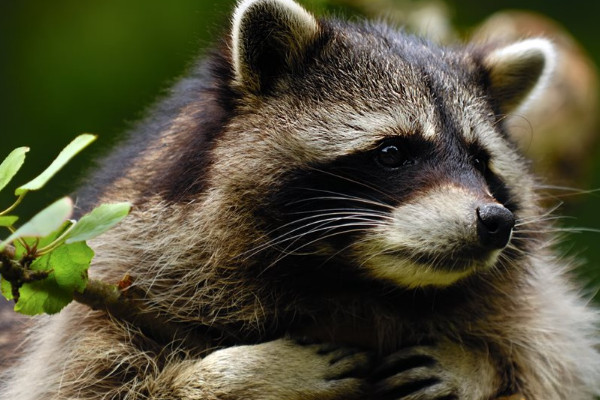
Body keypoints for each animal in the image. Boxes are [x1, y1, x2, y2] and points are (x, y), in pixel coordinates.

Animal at [1, 0, 600, 398]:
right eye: (392, 152)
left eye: (480, 162)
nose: (494, 221)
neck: (356, 283)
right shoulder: (103, 294)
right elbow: (86, 381)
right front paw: (233, 377)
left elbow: (553, 362)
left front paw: (478, 367)